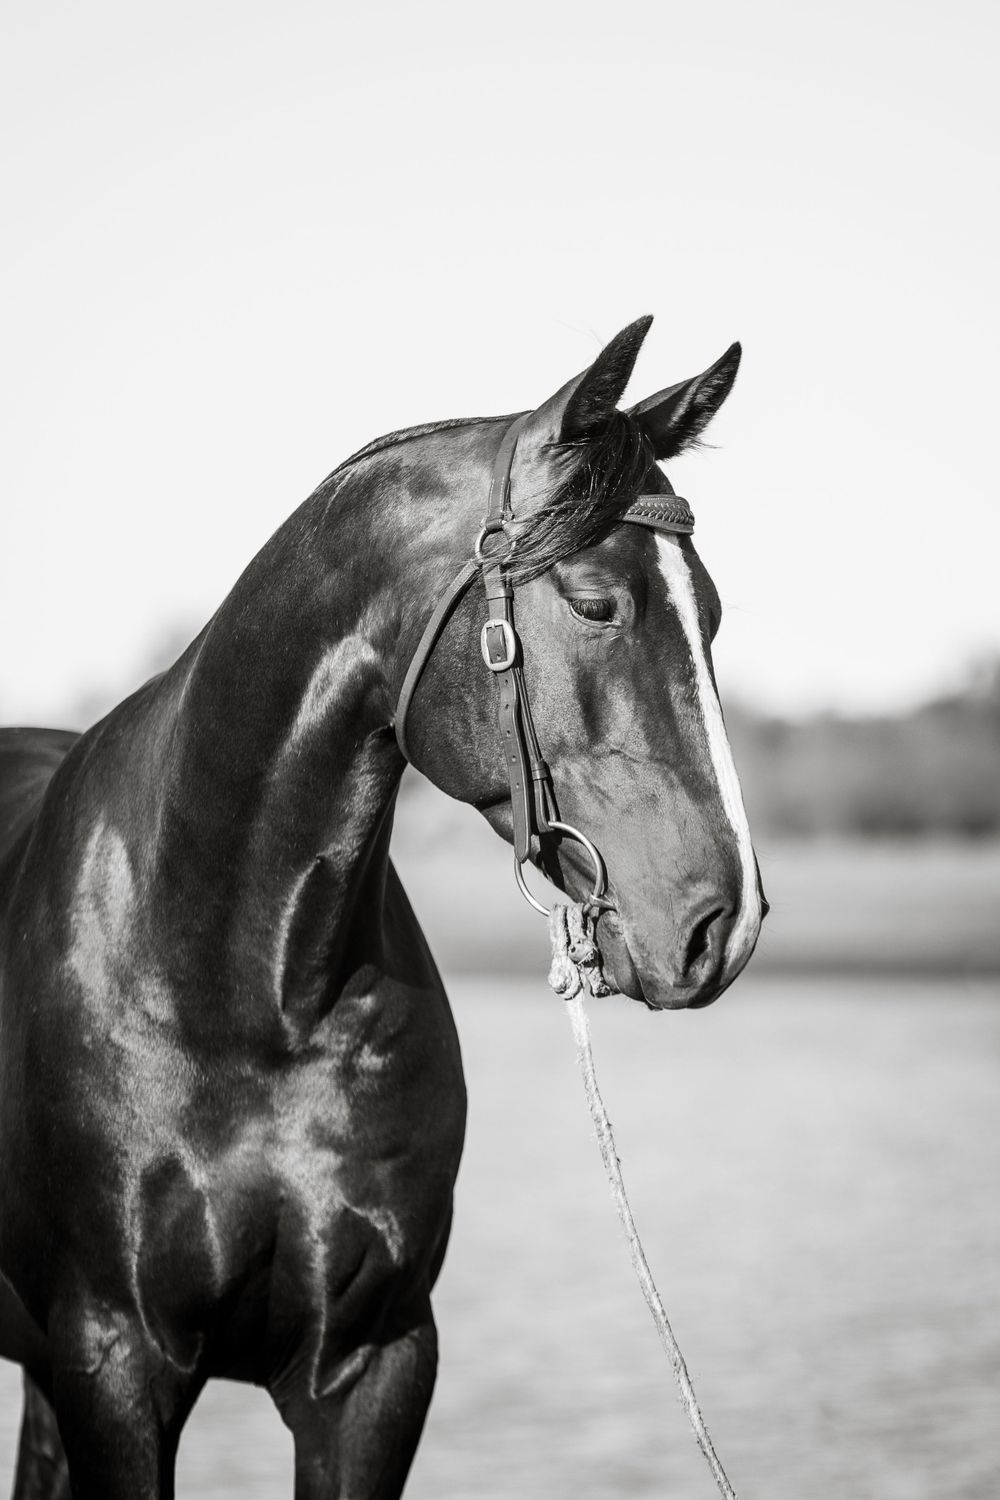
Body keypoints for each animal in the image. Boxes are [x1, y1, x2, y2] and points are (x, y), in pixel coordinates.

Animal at [0, 314, 764, 1498]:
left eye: (714, 614)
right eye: (596, 603)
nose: (724, 924)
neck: (239, 985)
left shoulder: (373, 1364)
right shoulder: (115, 1358)